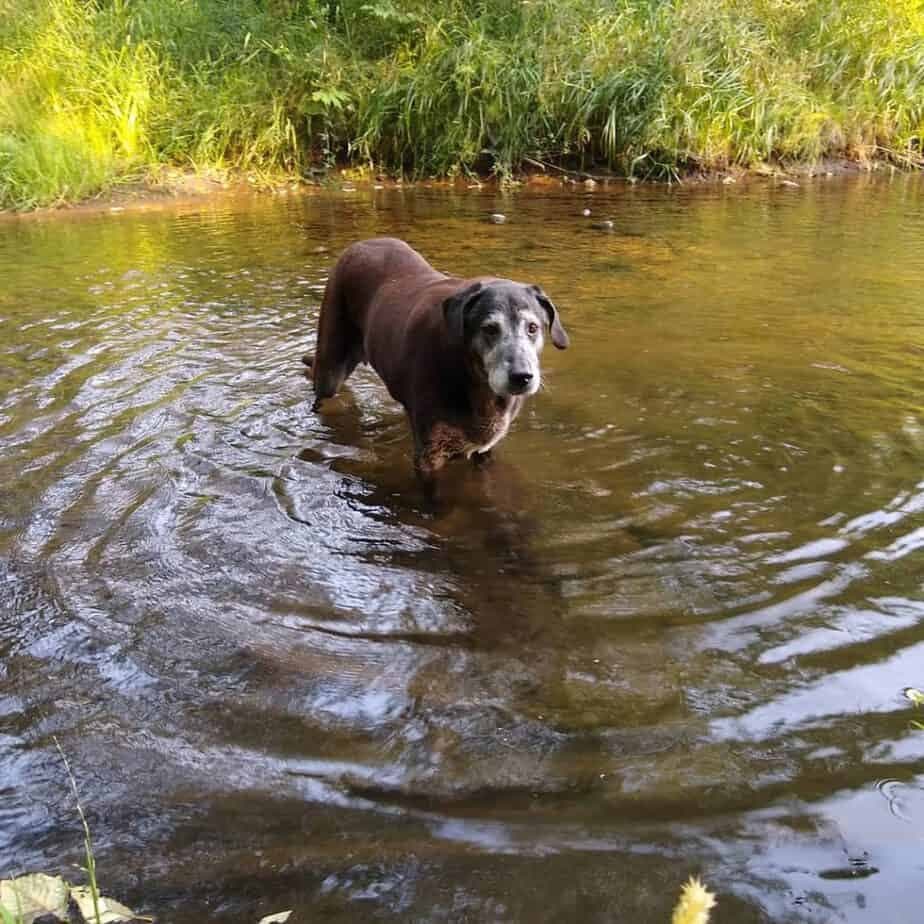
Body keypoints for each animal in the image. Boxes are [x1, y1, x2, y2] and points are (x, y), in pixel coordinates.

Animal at [306, 236, 568, 484]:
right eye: (490, 329)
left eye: (533, 328)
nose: (522, 377)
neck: (473, 379)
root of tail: (358, 244)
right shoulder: (429, 456)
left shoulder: (485, 449)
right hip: (331, 366)